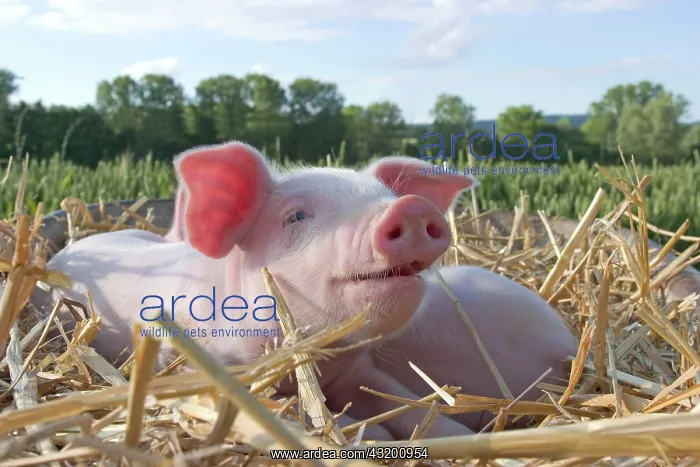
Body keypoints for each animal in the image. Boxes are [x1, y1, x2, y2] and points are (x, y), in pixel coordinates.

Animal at [26, 141, 481, 441]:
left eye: (386, 196)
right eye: (296, 216)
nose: (410, 207)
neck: (314, 362)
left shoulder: (357, 370)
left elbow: (407, 401)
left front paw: (459, 434)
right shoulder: (219, 370)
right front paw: (371, 436)